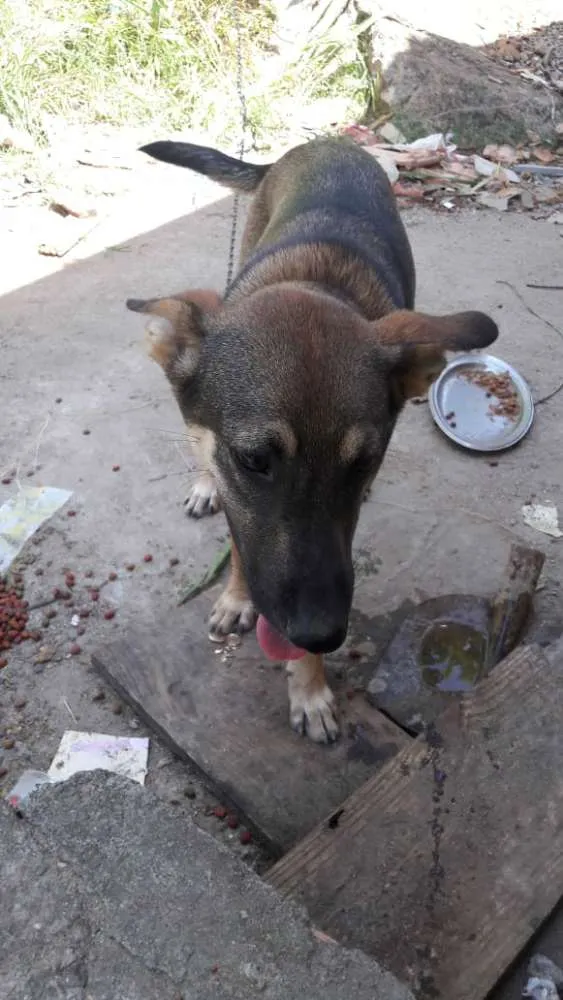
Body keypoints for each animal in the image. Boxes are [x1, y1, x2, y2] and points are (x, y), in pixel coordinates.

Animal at [128, 135, 498, 744]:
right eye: (254, 459)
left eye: (365, 461)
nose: (321, 633)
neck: (310, 280)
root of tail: (331, 140)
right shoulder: (240, 493)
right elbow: (240, 543)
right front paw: (237, 597)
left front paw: (309, 687)